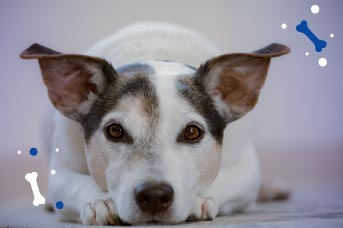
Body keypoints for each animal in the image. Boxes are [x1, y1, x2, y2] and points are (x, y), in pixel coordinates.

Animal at [20, 22, 292, 225]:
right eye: (114, 130)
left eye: (192, 132)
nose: (153, 195)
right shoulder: (61, 170)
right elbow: (75, 183)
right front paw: (100, 201)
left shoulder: (246, 169)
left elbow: (225, 179)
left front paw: (197, 199)